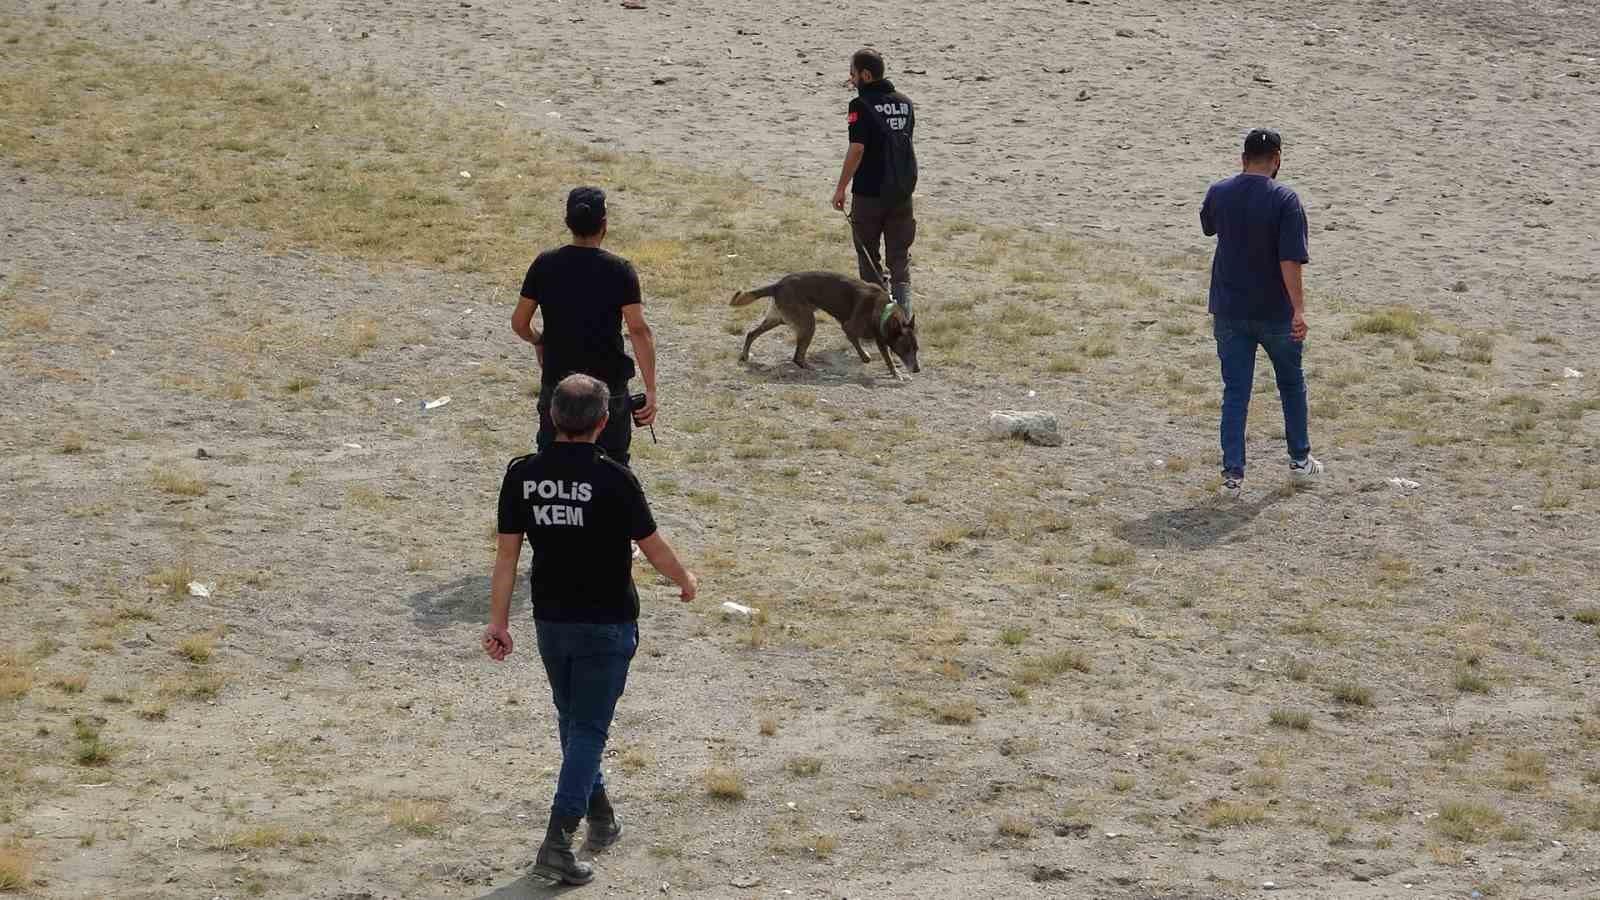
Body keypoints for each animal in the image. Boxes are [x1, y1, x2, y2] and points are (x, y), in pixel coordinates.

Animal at [732, 267, 921, 376]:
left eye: (916, 349)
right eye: (906, 348)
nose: (917, 369)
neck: (883, 311)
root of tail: (777, 285)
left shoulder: (877, 336)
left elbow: (882, 352)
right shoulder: (849, 327)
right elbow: (877, 352)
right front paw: (891, 370)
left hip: (778, 319)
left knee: (751, 333)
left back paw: (745, 355)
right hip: (808, 324)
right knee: (797, 357)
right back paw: (812, 368)